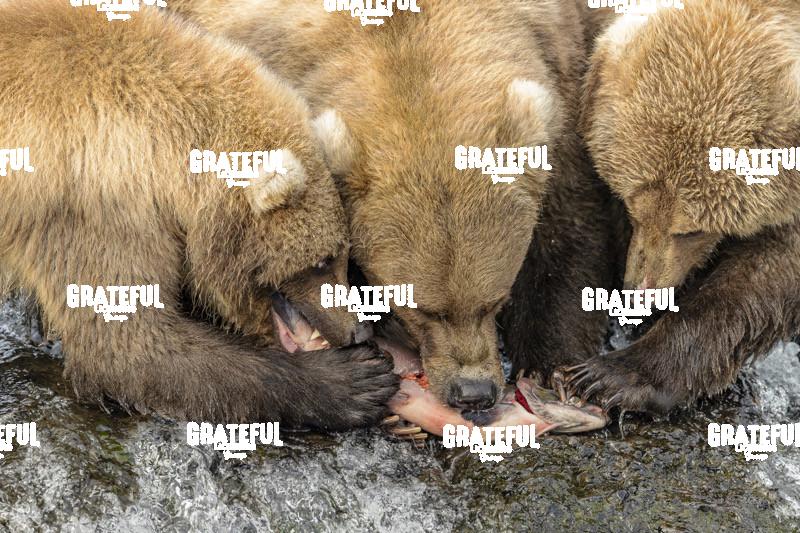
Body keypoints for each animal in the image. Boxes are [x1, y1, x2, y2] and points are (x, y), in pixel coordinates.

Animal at [0, 0, 398, 429]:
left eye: (346, 255)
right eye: (323, 260)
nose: (360, 332)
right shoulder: (95, 203)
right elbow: (130, 347)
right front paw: (355, 381)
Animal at [167, 0, 617, 410]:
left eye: (494, 301)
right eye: (419, 309)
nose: (474, 392)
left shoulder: (559, 66)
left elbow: (571, 227)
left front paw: (551, 364)